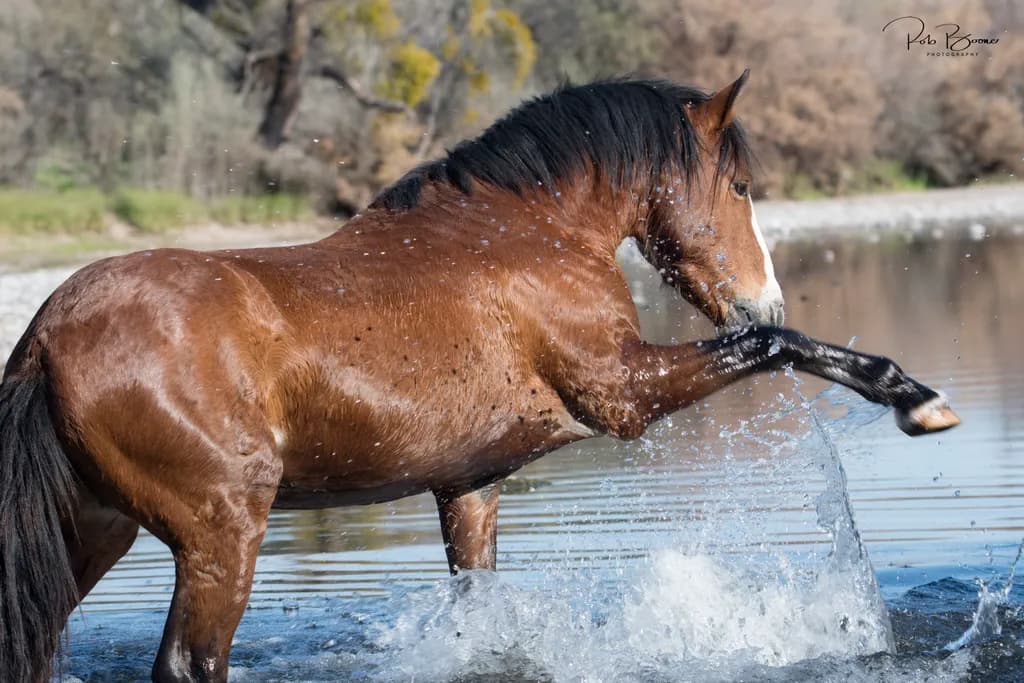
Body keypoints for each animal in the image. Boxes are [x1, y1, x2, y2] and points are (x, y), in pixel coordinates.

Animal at [0, 71, 960, 682]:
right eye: (741, 186)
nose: (763, 293)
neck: (525, 231)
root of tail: (47, 336)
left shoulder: (470, 486)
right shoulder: (625, 392)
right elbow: (776, 346)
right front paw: (913, 398)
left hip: (97, 532)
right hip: (220, 531)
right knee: (193, 663)